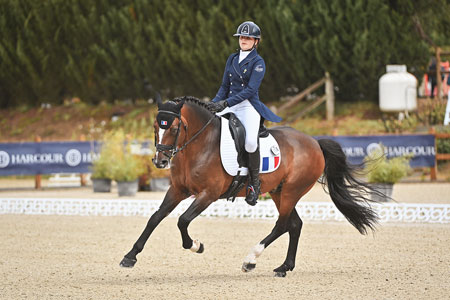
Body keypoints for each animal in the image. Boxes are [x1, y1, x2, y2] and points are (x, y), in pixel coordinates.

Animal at [119, 95, 384, 276]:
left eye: (174, 128)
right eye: (156, 127)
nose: (160, 161)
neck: (199, 145)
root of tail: (314, 142)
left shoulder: (208, 194)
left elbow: (182, 221)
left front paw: (196, 245)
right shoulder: (177, 190)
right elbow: (155, 218)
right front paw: (130, 256)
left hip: (292, 190)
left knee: (283, 224)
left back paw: (251, 260)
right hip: (278, 191)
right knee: (295, 224)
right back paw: (284, 267)